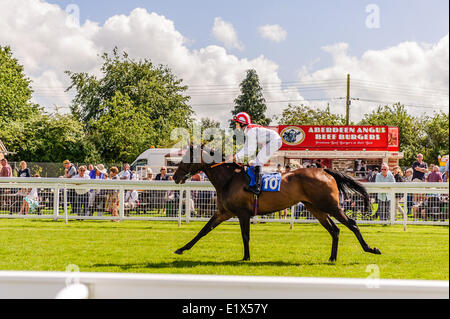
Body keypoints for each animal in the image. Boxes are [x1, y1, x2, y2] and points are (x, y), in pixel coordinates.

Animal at [172, 146, 380, 262]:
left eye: (186, 158)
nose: (174, 177)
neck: (230, 179)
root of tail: (325, 171)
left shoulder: (242, 213)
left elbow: (245, 236)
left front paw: (246, 257)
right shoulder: (224, 212)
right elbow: (204, 230)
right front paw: (181, 248)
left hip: (330, 205)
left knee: (351, 223)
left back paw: (371, 248)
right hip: (315, 207)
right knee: (334, 230)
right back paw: (332, 257)